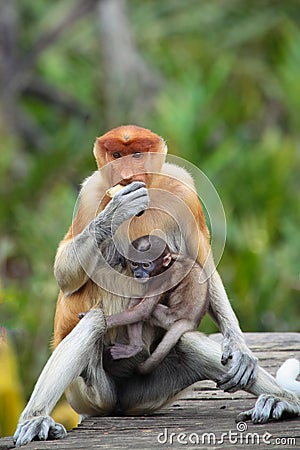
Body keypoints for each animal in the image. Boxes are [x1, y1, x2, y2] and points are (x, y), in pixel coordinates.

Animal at [106, 234, 209, 374]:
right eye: (134, 264)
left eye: (146, 265)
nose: (138, 274)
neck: (169, 264)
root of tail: (192, 321)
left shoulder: (162, 278)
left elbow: (143, 311)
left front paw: (105, 321)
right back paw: (136, 346)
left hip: (168, 319)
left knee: (148, 311)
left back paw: (136, 346)